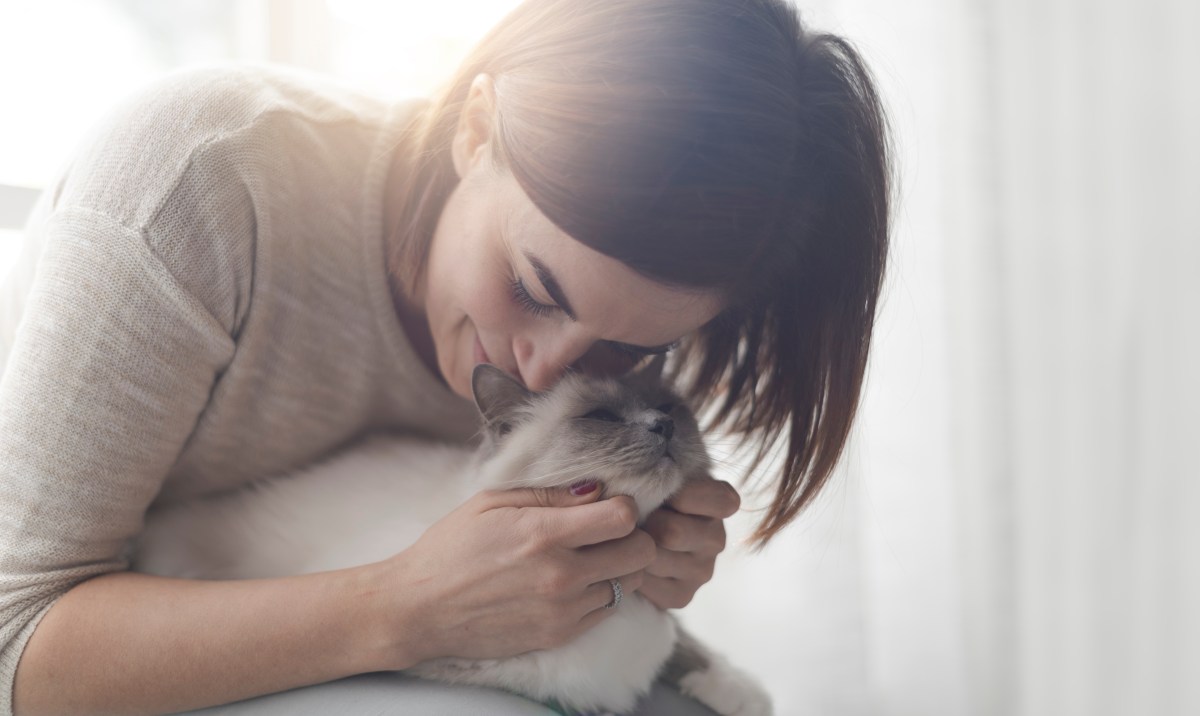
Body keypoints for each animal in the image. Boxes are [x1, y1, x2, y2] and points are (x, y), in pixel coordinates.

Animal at [131, 357, 768, 714]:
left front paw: (742, 692)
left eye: (668, 409)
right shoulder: (437, 651)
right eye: (602, 419)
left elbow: (686, 645)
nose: (662, 426)